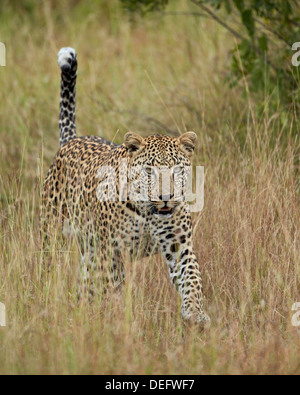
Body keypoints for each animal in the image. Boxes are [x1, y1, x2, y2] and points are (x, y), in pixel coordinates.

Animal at [41, 46, 211, 328]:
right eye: (149, 170)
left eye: (177, 169)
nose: (166, 197)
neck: (148, 212)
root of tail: (71, 141)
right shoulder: (113, 250)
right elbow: (114, 285)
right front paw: (119, 316)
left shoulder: (179, 245)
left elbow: (192, 278)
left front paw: (196, 313)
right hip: (54, 232)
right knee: (52, 264)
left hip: (90, 249)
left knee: (87, 284)